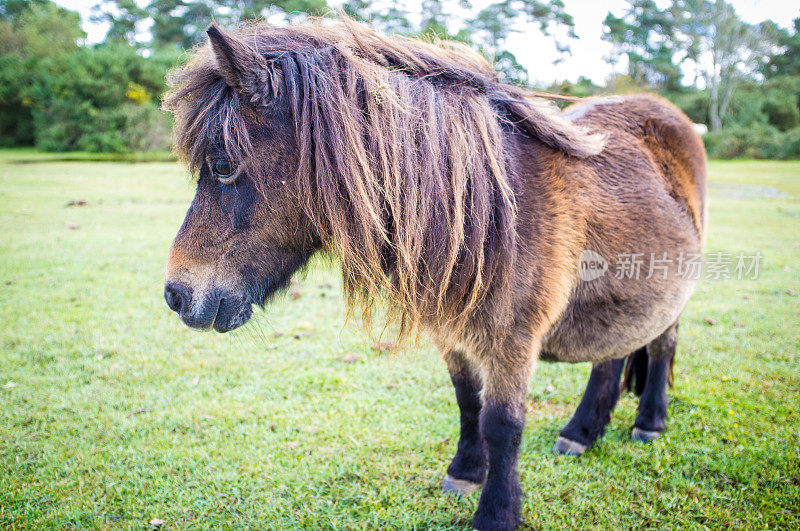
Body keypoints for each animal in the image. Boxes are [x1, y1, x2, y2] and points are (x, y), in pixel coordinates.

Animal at [161, 16, 708, 531]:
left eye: (223, 165)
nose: (176, 294)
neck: (490, 210)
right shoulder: (452, 331)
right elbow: (468, 404)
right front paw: (464, 474)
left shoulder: (513, 340)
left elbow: (502, 424)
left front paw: (496, 514)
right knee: (609, 357)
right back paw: (581, 433)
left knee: (663, 344)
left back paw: (649, 422)